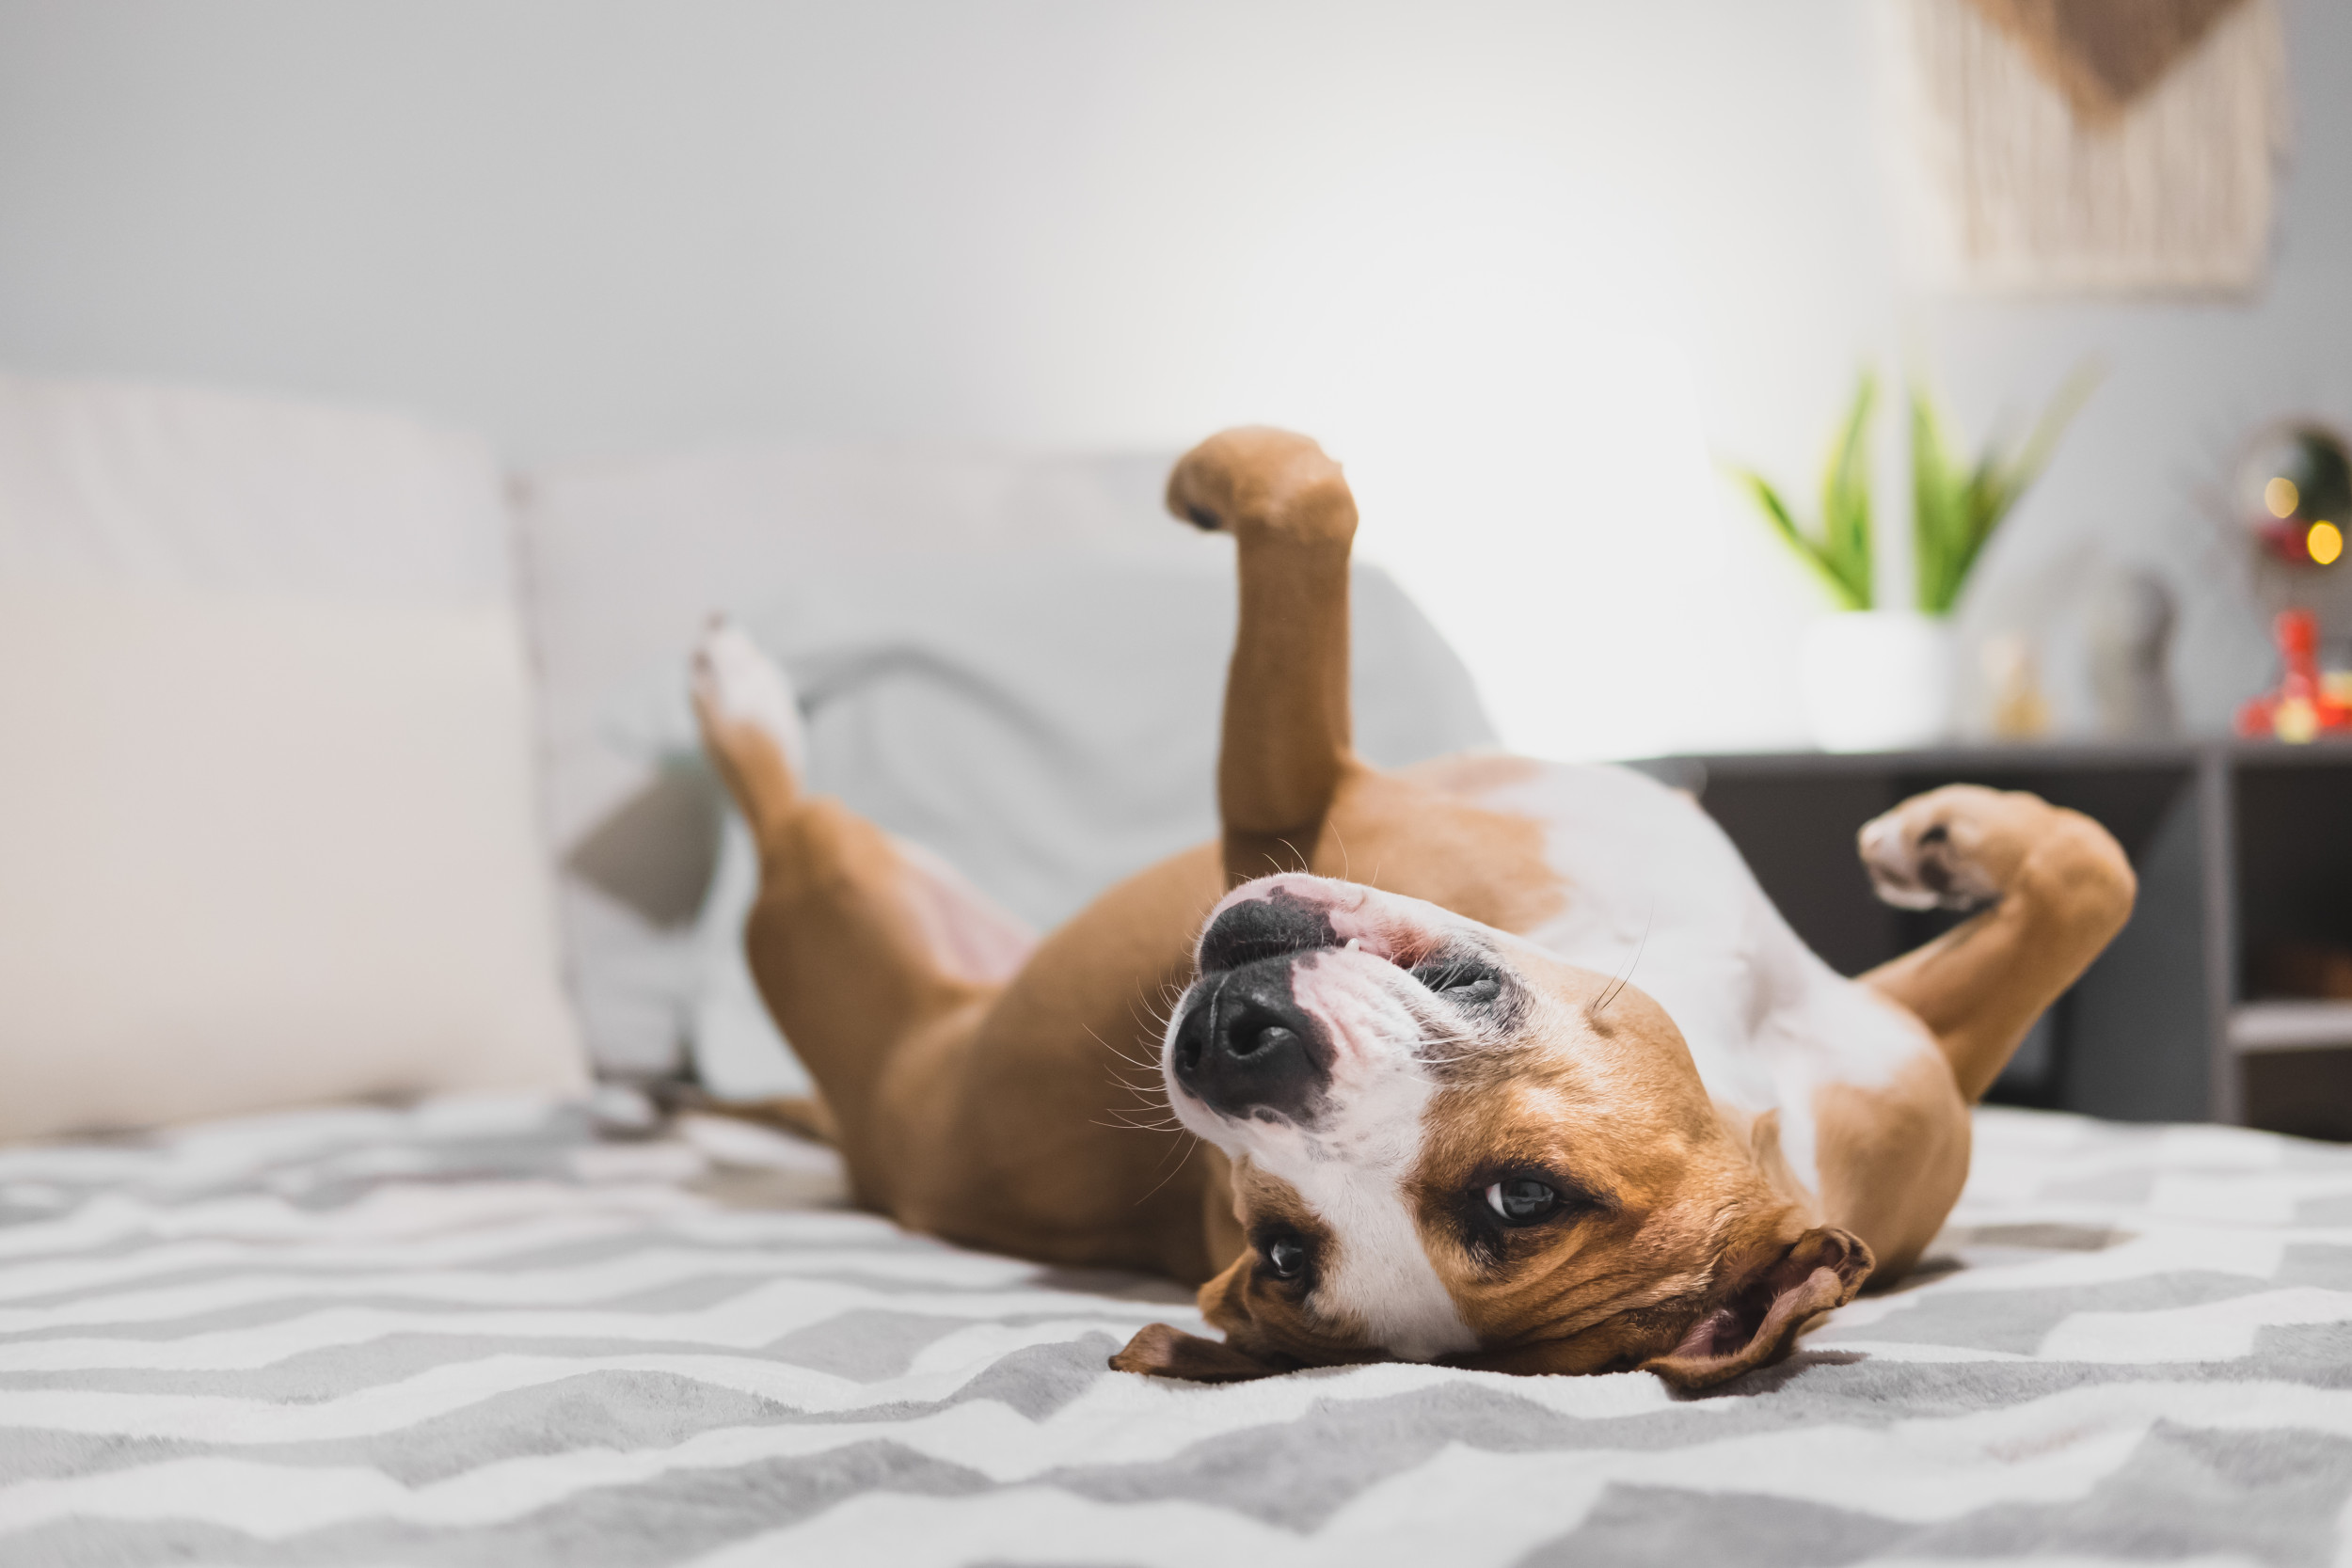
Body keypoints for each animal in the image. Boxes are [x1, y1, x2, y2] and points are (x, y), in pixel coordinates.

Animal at [687, 425, 2136, 1382]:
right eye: (1277, 1245)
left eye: (1519, 1198)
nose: (1238, 1049)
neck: (1739, 1038)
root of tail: (869, 1145)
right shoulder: (1906, 1060)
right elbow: (2096, 876)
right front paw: (1949, 839)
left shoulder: (1287, 792)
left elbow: (1302, 489)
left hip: (832, 906)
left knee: (781, 818)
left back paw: (735, 690)